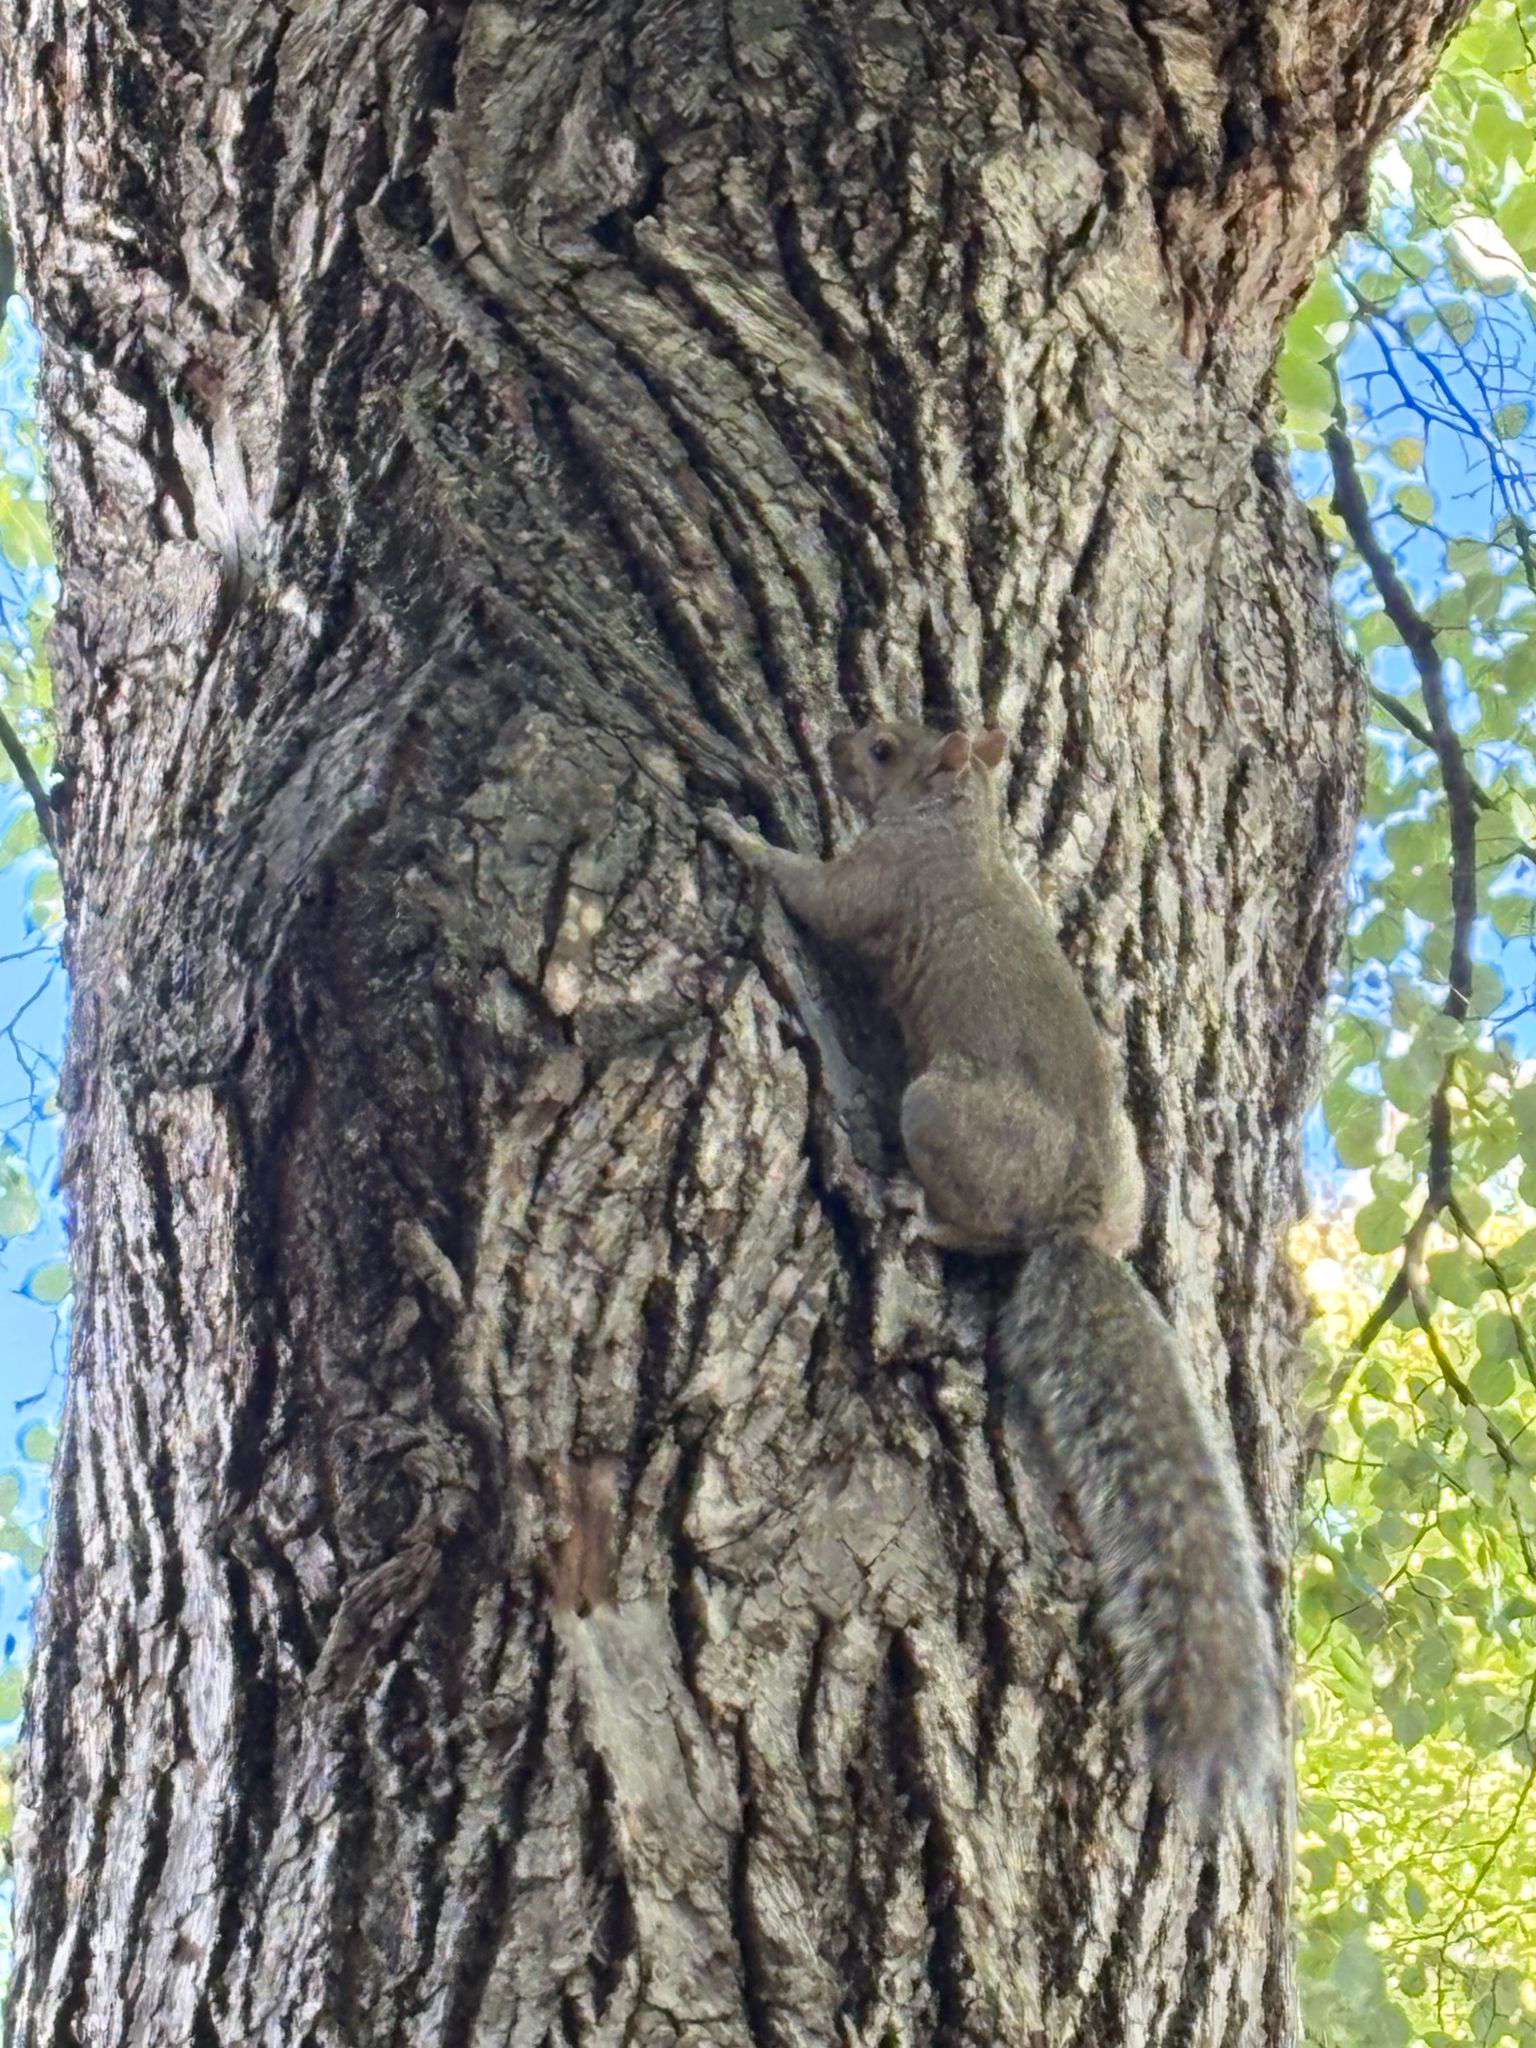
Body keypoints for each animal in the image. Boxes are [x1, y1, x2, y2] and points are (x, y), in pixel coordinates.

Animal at [708, 729, 1286, 1818]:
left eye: (884, 746)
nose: (839, 741)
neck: (961, 821)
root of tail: (1079, 1223)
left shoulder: (883, 882)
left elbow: (818, 895)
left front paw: (742, 833)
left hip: (939, 1109)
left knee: (976, 1229)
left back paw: (916, 1208)